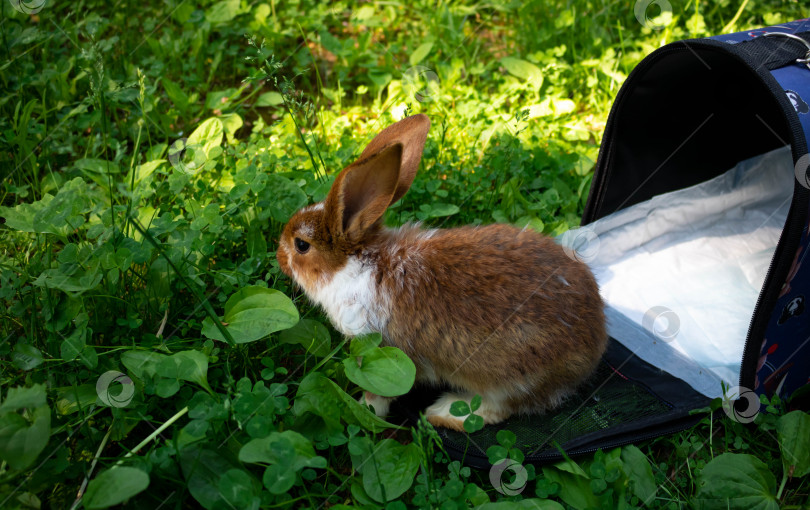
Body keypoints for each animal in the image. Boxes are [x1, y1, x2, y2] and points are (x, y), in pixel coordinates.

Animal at [278, 114, 608, 430]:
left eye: (301, 245)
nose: (280, 256)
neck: (357, 263)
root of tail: (596, 341)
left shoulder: (382, 348)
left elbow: (379, 394)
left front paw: (362, 410)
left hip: (511, 376)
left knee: (500, 408)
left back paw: (442, 413)